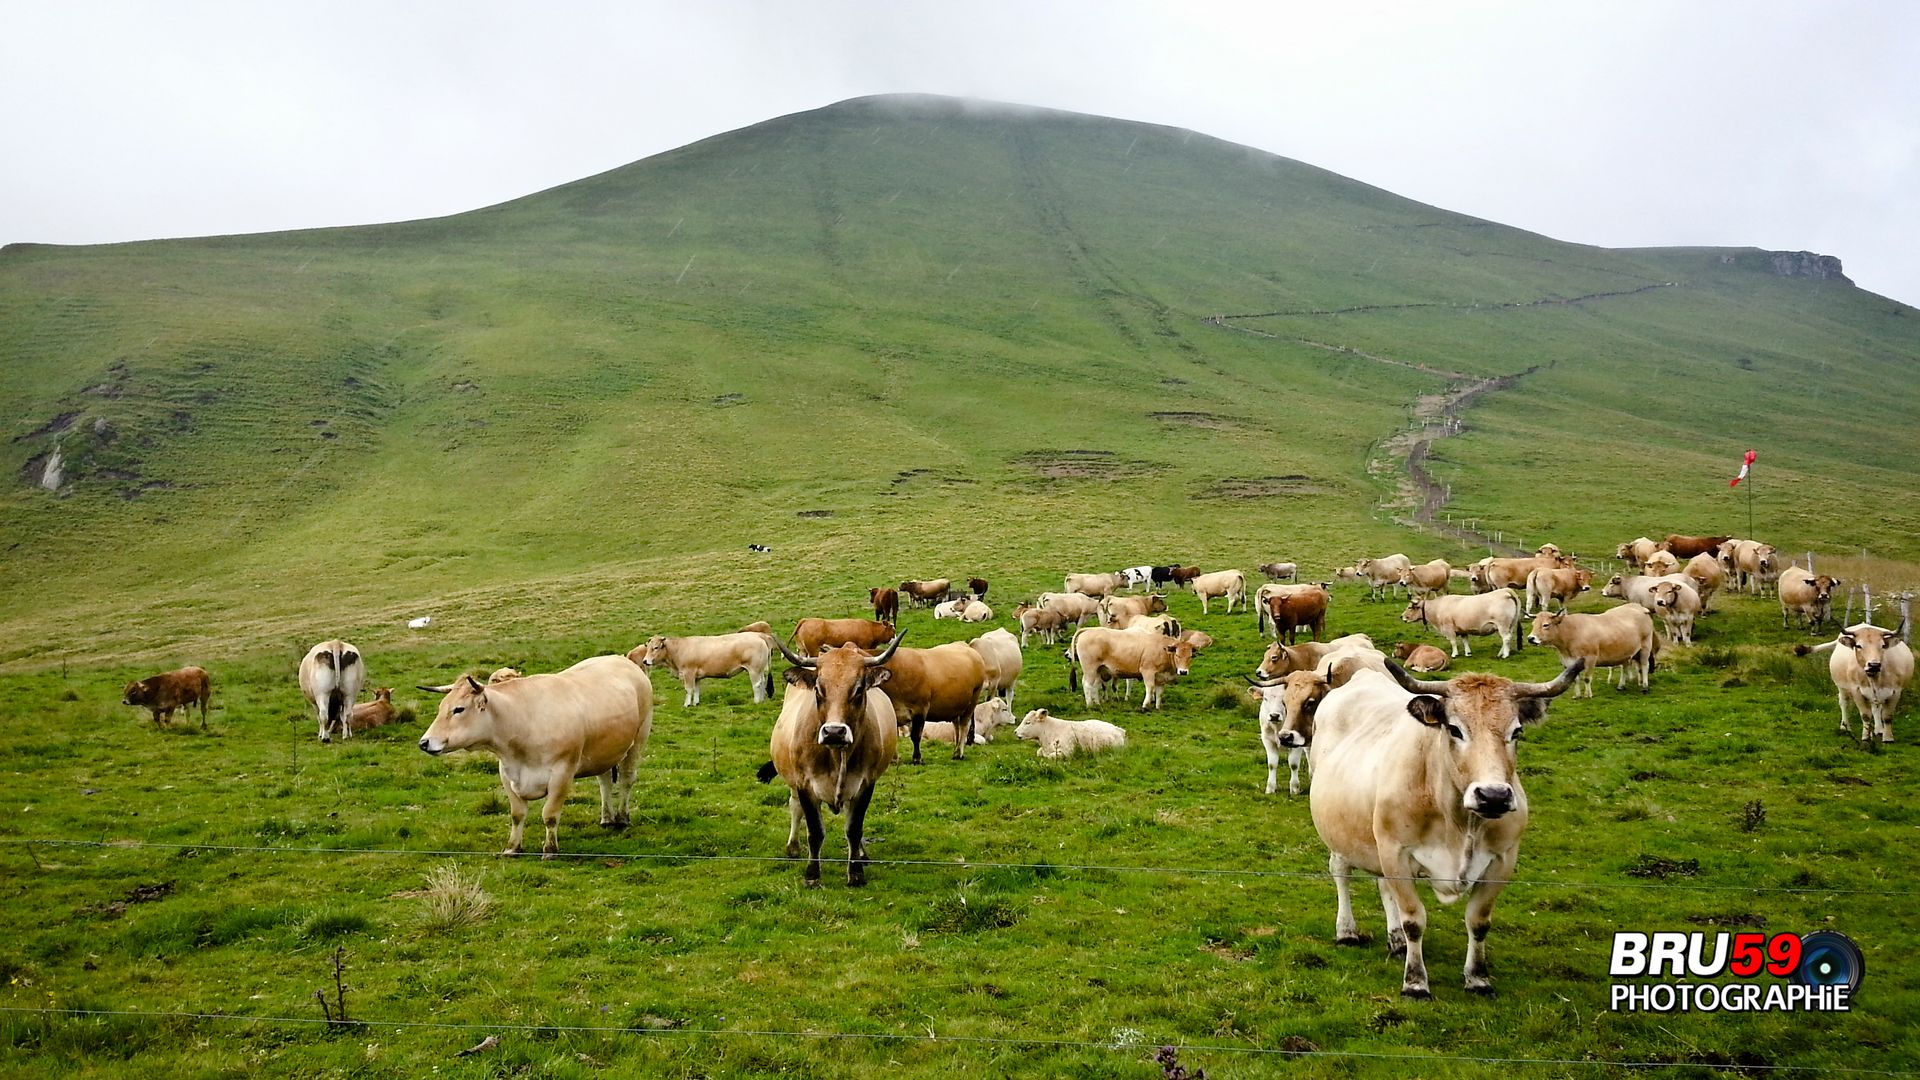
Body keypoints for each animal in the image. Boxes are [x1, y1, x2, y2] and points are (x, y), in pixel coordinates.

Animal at [416, 653, 656, 853]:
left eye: (459, 709)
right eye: (441, 708)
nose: (424, 742)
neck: (523, 720)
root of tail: (621, 660)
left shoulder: (562, 773)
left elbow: (550, 814)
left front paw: (550, 849)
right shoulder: (507, 773)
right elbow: (517, 814)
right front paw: (512, 848)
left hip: (638, 740)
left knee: (626, 779)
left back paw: (622, 818)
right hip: (604, 751)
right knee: (604, 781)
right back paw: (607, 818)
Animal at [633, 630, 775, 707]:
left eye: (656, 647)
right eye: (647, 647)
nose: (645, 661)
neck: (679, 649)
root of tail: (759, 635)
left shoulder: (688, 673)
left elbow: (689, 689)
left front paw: (687, 704)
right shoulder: (696, 676)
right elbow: (696, 690)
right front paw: (695, 703)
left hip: (754, 669)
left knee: (756, 685)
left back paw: (756, 701)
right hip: (760, 670)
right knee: (763, 683)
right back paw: (762, 700)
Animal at [756, 630, 898, 883]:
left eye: (859, 689)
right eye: (818, 689)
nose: (834, 731)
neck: (836, 754)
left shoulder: (866, 784)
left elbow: (854, 828)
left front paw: (856, 872)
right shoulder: (804, 784)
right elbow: (815, 831)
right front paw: (812, 874)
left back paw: (861, 853)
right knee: (794, 807)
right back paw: (793, 847)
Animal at [1313, 657, 1582, 991]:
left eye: (1516, 731)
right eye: (1455, 729)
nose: (1493, 796)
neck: (1460, 822)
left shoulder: (1503, 860)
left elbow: (1479, 921)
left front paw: (1477, 976)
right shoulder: (1396, 853)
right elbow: (1414, 919)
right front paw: (1415, 981)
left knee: (1383, 885)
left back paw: (1396, 940)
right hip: (1339, 834)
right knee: (1341, 873)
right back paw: (1347, 930)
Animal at [1520, 599, 1658, 691]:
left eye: (1545, 625)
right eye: (1533, 624)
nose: (1531, 638)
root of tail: (1639, 607)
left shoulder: (1591, 658)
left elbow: (1587, 678)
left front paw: (1588, 695)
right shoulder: (1568, 662)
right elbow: (1575, 679)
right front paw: (1577, 695)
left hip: (1645, 647)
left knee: (1644, 665)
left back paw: (1644, 686)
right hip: (1626, 652)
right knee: (1626, 667)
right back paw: (1621, 686)